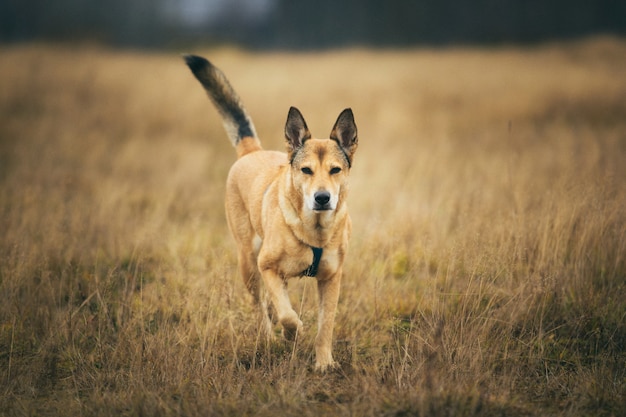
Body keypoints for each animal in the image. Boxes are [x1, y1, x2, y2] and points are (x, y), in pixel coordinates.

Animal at [184, 55, 356, 370]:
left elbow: (326, 324)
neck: (314, 229)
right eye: (306, 170)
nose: (322, 198)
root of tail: (251, 151)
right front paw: (292, 332)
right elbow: (288, 315)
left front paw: (324, 362)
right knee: (260, 305)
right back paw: (269, 337)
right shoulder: (267, 267)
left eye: (335, 170)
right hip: (249, 263)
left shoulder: (331, 278)